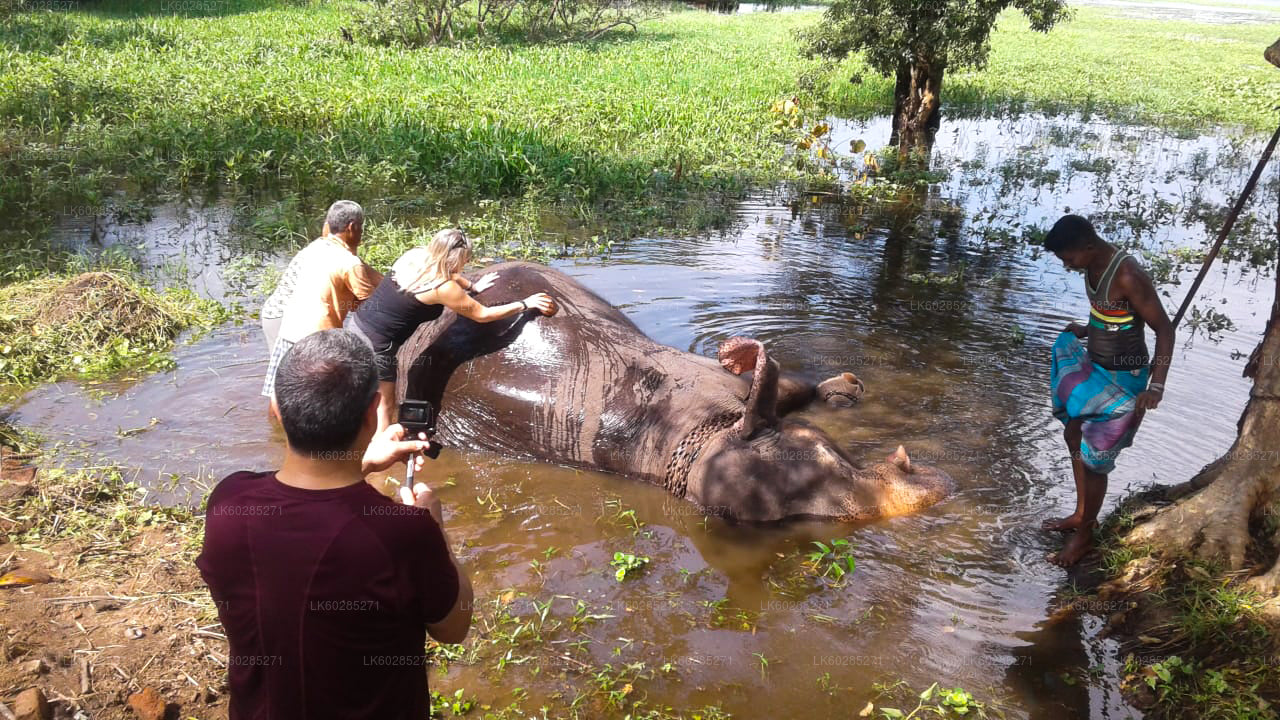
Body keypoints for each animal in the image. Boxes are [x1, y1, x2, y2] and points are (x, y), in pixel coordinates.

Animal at [396, 260, 952, 517]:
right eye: (818, 463)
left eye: (826, 448)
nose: (936, 487)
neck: (710, 433)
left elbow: (785, 383)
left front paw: (843, 390)